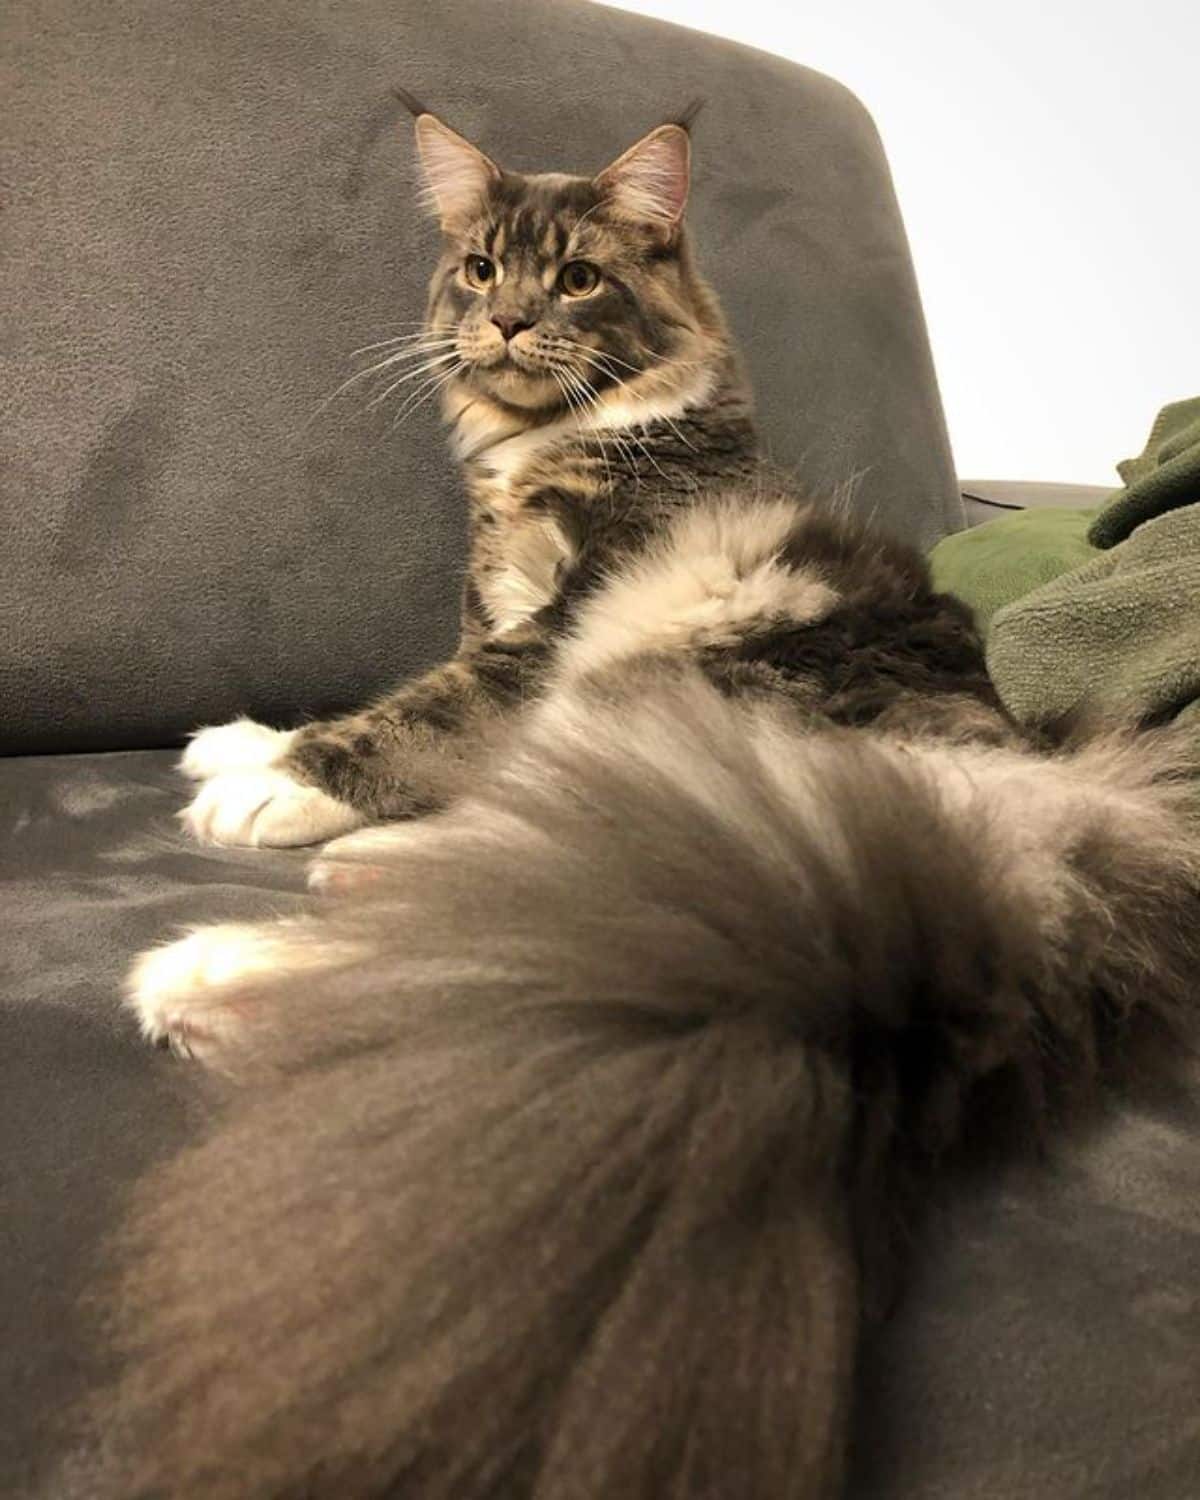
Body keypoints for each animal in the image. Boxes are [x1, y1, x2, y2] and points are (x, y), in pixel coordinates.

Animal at [100, 99, 1200, 1494]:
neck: (549, 445)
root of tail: (1033, 809)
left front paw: (272, 784)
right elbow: (412, 706)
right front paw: (242, 739)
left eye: (576, 279)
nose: (509, 324)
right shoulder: (498, 614)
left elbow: (418, 715)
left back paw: (211, 973)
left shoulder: (549, 630)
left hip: (672, 694)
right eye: (480, 269)